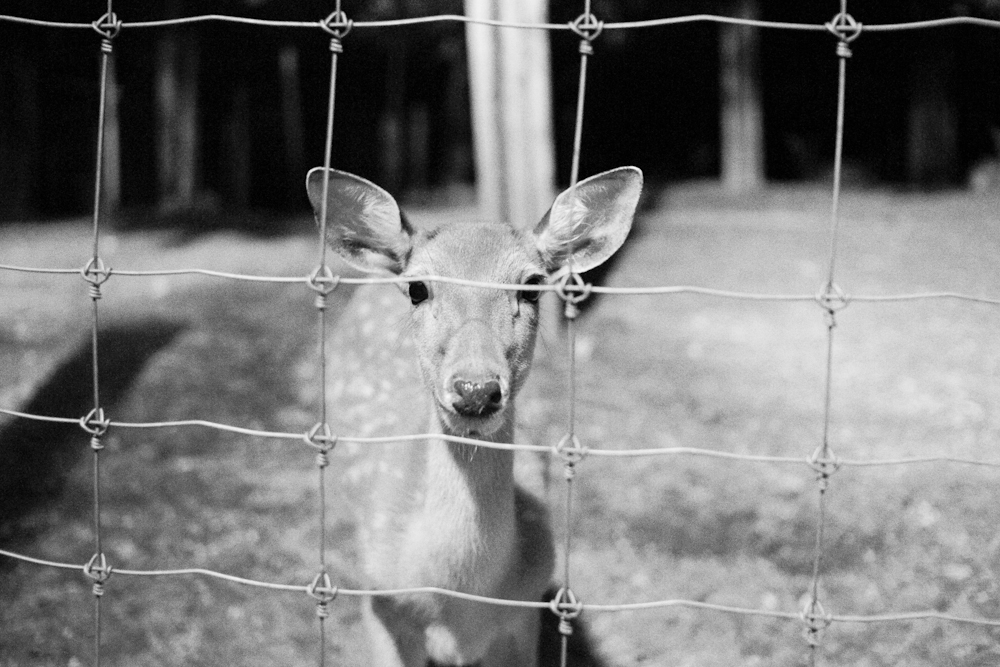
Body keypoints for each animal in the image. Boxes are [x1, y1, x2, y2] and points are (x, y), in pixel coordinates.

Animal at [304, 163, 644, 667]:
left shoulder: (524, 615)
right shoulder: (379, 602)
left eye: (531, 286)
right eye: (418, 288)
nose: (476, 389)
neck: (460, 599)